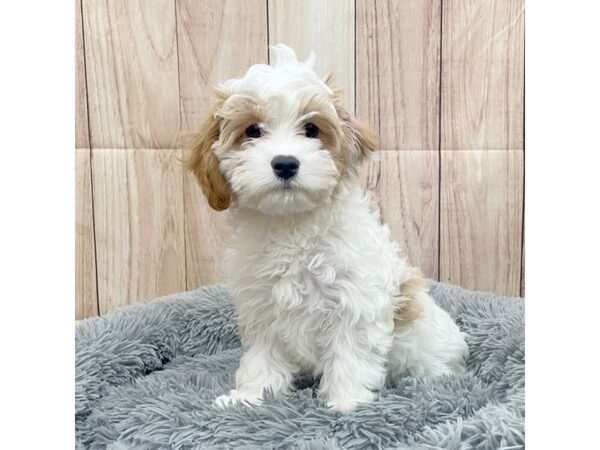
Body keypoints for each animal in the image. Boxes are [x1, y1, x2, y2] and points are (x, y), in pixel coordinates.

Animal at [188, 45, 468, 412]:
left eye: (311, 129)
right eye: (252, 131)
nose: (285, 163)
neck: (292, 225)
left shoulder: (355, 301)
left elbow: (350, 354)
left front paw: (347, 403)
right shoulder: (262, 307)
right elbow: (262, 357)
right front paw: (251, 397)